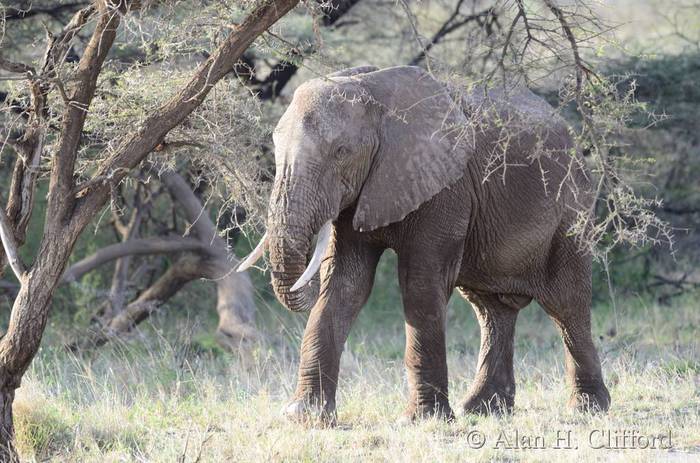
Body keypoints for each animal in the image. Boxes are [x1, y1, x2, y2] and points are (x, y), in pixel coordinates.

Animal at [238, 65, 611, 422]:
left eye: (342, 152)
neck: (371, 91)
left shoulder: (445, 186)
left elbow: (419, 285)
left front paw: (421, 419)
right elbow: (344, 287)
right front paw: (304, 416)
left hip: (572, 211)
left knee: (566, 305)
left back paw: (586, 408)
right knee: (491, 311)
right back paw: (483, 409)